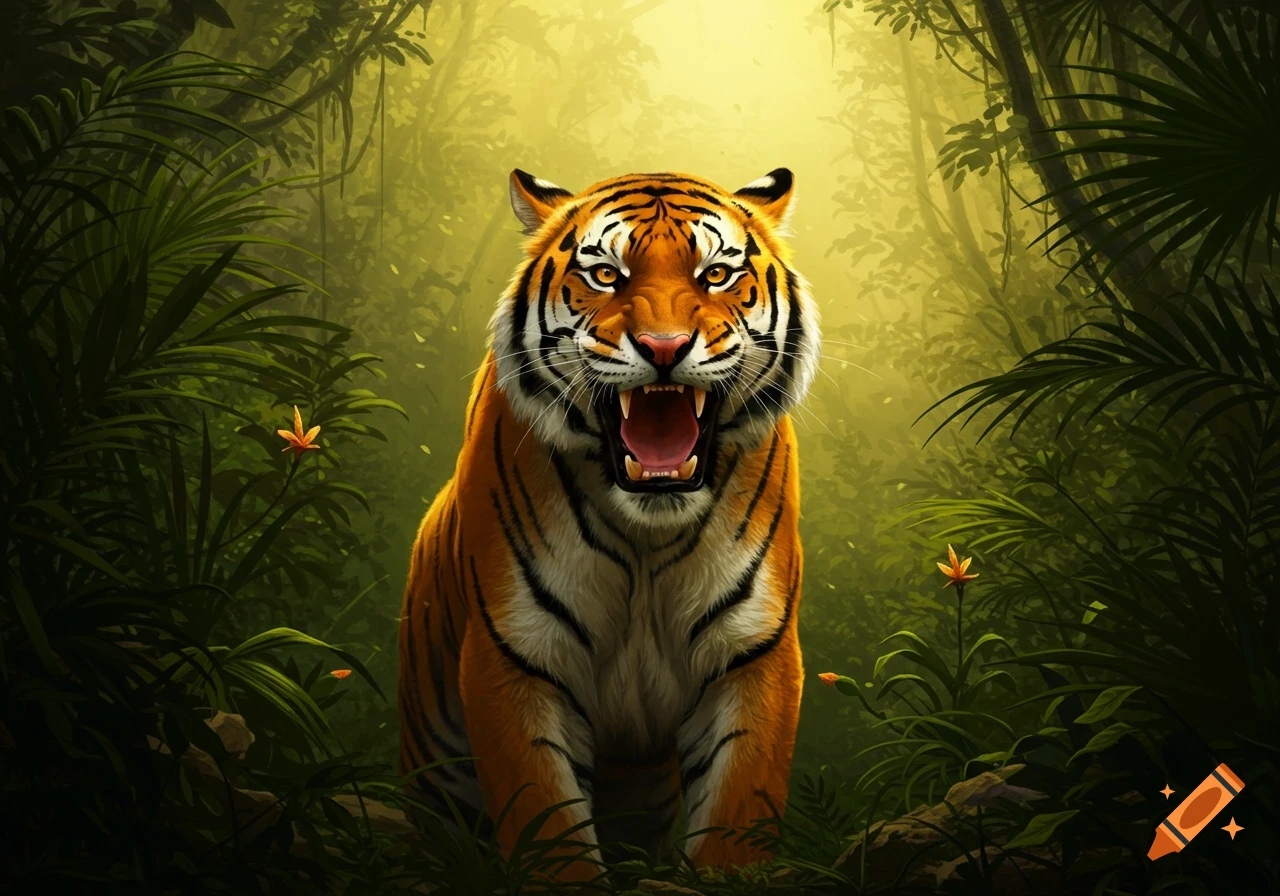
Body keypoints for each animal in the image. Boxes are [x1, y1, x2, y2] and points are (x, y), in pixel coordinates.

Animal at [397, 167, 821, 878]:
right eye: (605, 275)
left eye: (715, 274)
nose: (664, 348)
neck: (648, 529)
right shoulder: (514, 658)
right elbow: (550, 837)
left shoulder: (753, 654)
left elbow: (734, 821)